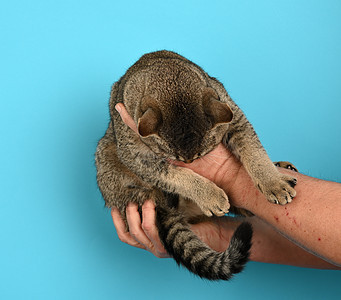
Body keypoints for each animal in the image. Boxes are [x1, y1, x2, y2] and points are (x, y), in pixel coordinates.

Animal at [95, 50, 294, 280]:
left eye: (200, 155)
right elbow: (178, 176)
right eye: (181, 159)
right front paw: (210, 195)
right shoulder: (136, 155)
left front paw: (272, 183)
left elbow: (254, 151)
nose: (190, 162)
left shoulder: (233, 113)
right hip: (109, 159)